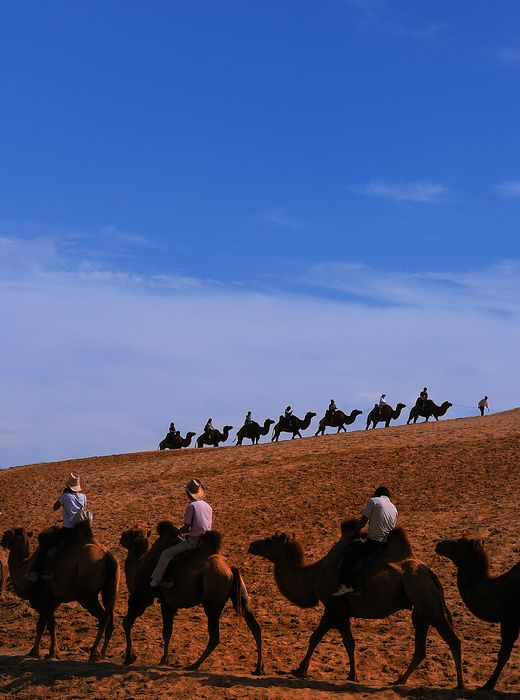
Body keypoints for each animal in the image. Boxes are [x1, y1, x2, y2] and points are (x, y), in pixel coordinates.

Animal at [0, 524, 119, 660]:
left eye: (7, 534)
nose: (1, 542)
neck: (24, 568)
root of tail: (107, 557)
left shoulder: (40, 599)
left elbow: (48, 625)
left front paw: (48, 652)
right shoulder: (53, 601)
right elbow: (44, 625)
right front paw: (40, 652)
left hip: (87, 595)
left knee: (103, 617)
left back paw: (94, 651)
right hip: (110, 590)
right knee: (110, 616)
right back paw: (103, 654)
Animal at [119, 520, 262, 672]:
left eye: (132, 532)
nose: (121, 537)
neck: (138, 567)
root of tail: (231, 568)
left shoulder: (143, 597)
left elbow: (128, 622)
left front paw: (130, 657)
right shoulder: (168, 603)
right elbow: (167, 632)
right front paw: (163, 659)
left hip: (213, 602)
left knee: (215, 637)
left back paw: (194, 665)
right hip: (240, 596)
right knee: (255, 626)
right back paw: (259, 668)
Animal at [248, 524, 464, 688]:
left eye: (270, 540)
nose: (252, 545)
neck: (315, 574)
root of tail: (430, 574)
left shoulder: (333, 608)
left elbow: (315, 637)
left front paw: (300, 670)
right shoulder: (343, 612)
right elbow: (349, 642)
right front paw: (353, 675)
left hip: (426, 601)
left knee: (453, 641)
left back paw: (459, 685)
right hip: (420, 610)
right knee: (420, 649)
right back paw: (399, 680)